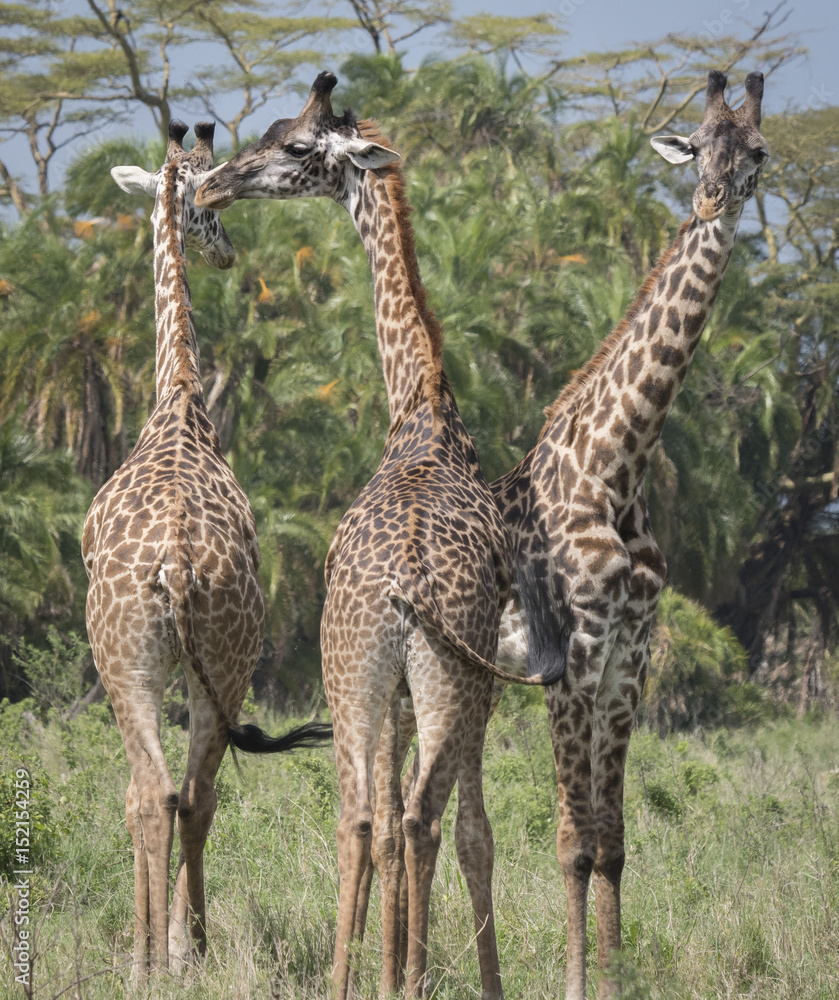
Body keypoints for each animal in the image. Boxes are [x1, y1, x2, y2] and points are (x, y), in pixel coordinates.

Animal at [82, 120, 331, 977]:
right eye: (208, 206)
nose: (225, 253)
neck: (180, 395)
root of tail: (180, 565)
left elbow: (134, 794)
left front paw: (146, 949)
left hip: (127, 660)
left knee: (153, 794)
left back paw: (150, 962)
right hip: (223, 659)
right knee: (195, 794)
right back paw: (189, 950)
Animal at [196, 73, 564, 999]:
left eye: (293, 145)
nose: (212, 186)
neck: (421, 412)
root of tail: (401, 593)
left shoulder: (405, 689)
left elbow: (407, 827)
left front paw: (398, 964)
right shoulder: (454, 684)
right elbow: (457, 829)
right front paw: (431, 970)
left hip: (364, 676)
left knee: (368, 816)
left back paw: (362, 978)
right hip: (418, 680)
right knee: (411, 815)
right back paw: (399, 976)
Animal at [483, 70, 769, 999]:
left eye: (756, 152)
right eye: (697, 144)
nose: (711, 197)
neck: (617, 469)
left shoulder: (626, 662)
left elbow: (610, 842)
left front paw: (615, 980)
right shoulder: (571, 663)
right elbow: (572, 843)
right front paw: (577, 984)